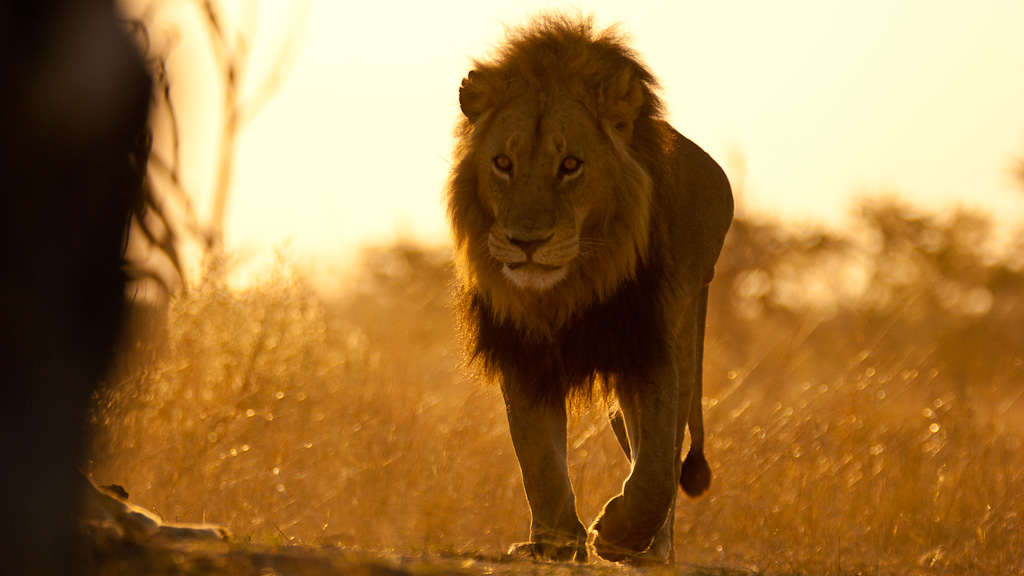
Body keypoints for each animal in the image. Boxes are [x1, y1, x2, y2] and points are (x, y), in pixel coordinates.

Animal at [446, 14, 733, 564]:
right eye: (503, 164)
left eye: (571, 165)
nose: (526, 242)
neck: (571, 287)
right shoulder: (522, 351)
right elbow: (538, 456)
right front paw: (555, 542)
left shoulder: (650, 345)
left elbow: (657, 465)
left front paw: (619, 534)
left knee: (667, 446)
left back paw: (653, 549)